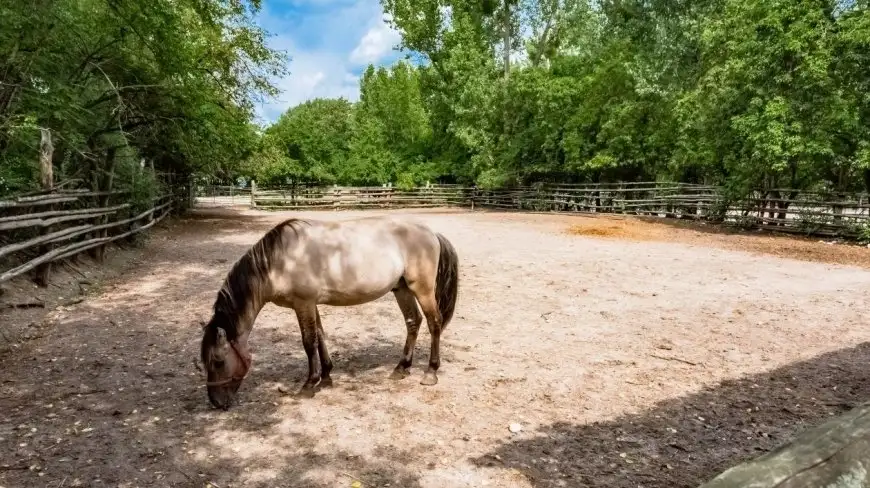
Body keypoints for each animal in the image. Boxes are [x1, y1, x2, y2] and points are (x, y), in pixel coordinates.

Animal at [197, 215, 456, 410]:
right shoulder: (311, 304)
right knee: (413, 322)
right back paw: (401, 368)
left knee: (434, 322)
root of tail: (431, 232)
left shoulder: (303, 303)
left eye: (218, 361)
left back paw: (430, 372)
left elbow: (309, 341)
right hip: (401, 289)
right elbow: (320, 336)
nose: (216, 403)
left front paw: (308, 385)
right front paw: (326, 377)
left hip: (422, 289)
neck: (280, 262)